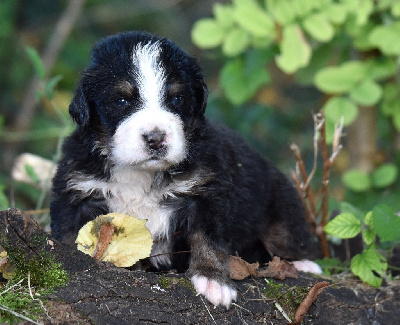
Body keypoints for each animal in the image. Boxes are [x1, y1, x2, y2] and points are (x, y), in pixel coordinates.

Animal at [50, 31, 320, 308]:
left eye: (177, 98)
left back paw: (303, 264)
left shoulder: (207, 192)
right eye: (121, 100)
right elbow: (70, 234)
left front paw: (213, 281)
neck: (140, 174)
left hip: (279, 200)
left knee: (287, 237)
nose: (155, 138)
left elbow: (207, 239)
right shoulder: (77, 191)